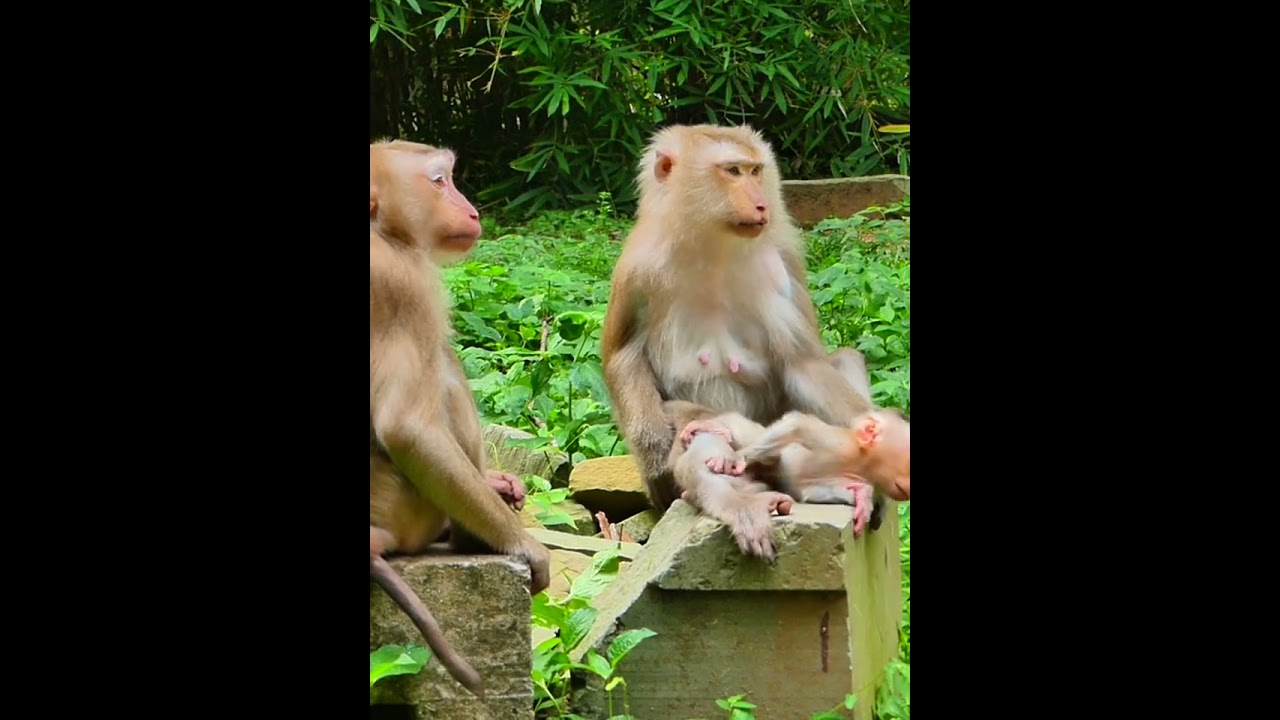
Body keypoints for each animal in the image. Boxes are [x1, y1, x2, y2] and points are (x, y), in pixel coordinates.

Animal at [369, 139, 551, 697]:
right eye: (438, 181)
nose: (471, 209)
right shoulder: (404, 281)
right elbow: (405, 426)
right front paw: (525, 547)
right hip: (409, 510)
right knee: (443, 366)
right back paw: (472, 537)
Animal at [600, 123, 880, 559]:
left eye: (755, 170)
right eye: (732, 171)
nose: (762, 204)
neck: (715, 244)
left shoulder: (783, 263)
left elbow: (805, 365)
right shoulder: (638, 266)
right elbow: (622, 356)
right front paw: (655, 462)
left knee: (843, 362)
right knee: (705, 439)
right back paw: (741, 501)